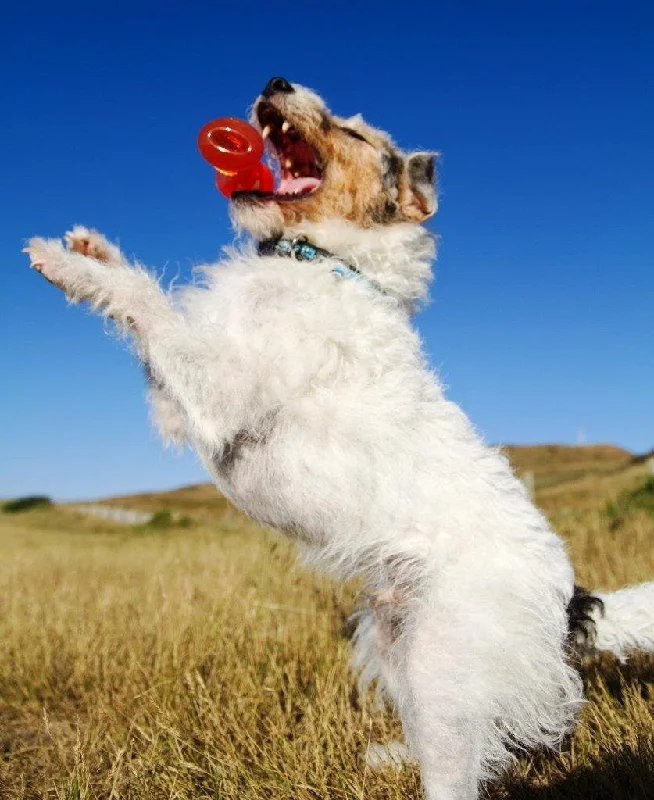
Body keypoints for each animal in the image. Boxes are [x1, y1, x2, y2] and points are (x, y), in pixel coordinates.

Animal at [23, 76, 652, 800]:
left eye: (352, 132)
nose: (275, 82)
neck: (320, 262)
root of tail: (570, 602)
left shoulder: (216, 389)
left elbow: (145, 297)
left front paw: (68, 265)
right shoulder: (181, 404)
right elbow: (146, 317)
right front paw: (93, 249)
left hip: (443, 671)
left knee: (462, 770)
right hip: (392, 637)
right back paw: (390, 756)